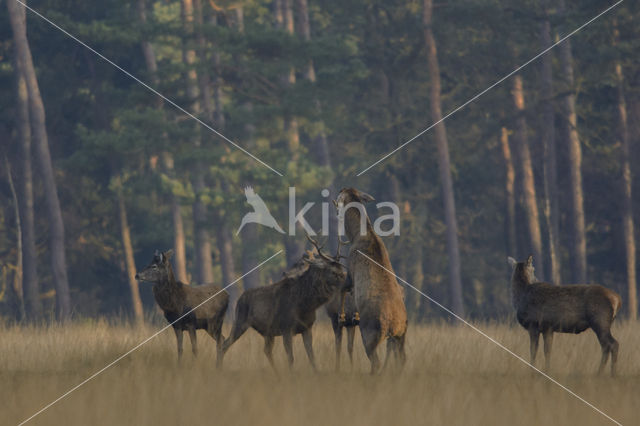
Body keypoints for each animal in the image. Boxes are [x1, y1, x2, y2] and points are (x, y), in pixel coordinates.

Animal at [221, 240, 350, 372]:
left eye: (341, 268)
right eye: (333, 272)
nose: (348, 281)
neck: (306, 306)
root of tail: (239, 299)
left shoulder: (307, 327)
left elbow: (312, 357)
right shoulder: (286, 328)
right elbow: (291, 358)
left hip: (268, 333)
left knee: (266, 350)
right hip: (239, 321)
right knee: (224, 344)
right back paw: (218, 368)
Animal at [332, 187, 408, 372]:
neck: (355, 236)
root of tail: (393, 324)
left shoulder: (350, 270)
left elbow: (342, 288)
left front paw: (342, 316)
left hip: (370, 333)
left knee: (376, 362)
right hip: (401, 335)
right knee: (402, 359)